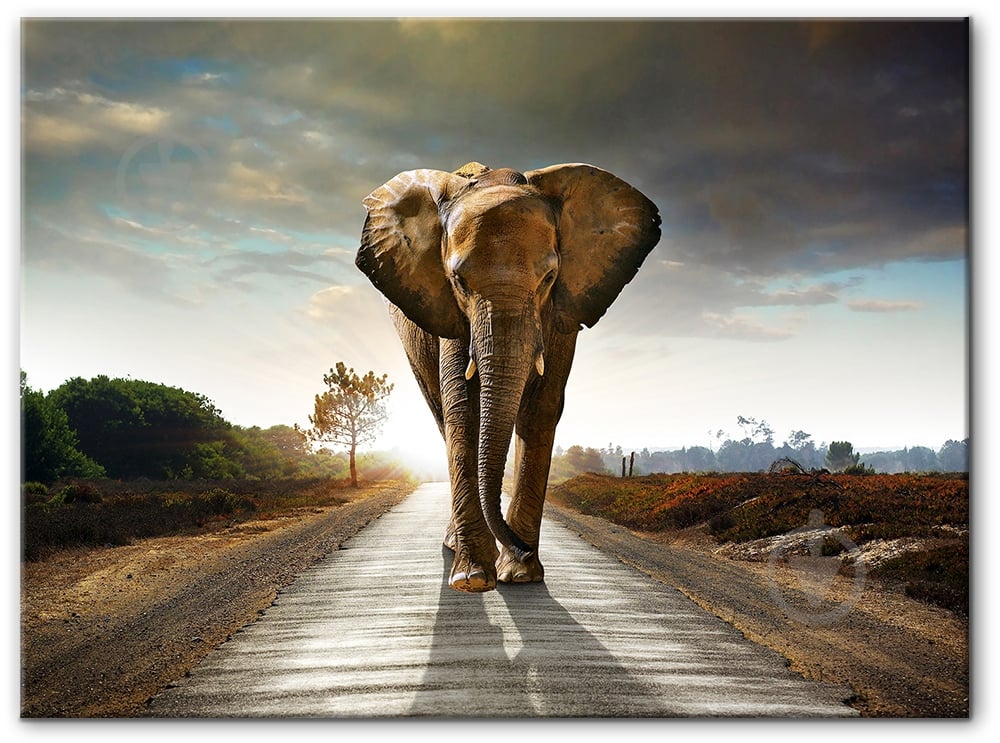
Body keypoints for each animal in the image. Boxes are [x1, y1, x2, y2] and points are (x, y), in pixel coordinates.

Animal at [356, 161, 660, 592]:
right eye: (458, 281)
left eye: (549, 277)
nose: (520, 547)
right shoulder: (451, 314)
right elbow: (463, 409)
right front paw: (473, 579)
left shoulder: (562, 313)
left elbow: (541, 409)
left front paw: (520, 575)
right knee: (441, 414)